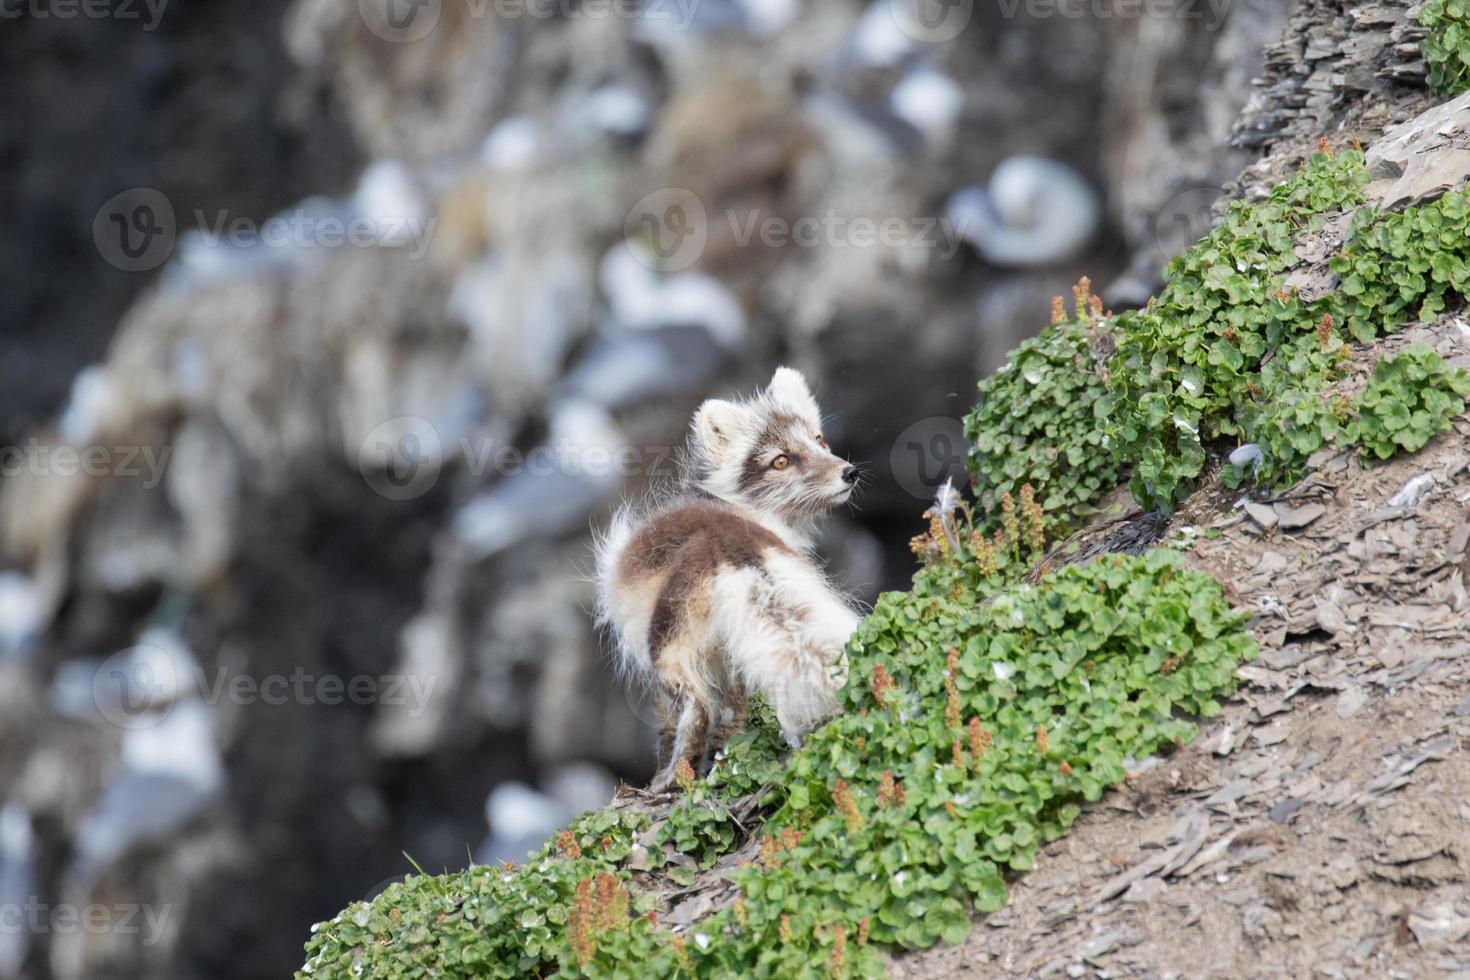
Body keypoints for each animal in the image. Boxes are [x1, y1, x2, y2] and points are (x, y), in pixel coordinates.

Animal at [596, 365, 858, 787]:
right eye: (781, 461)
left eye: (819, 440)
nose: (849, 472)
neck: (738, 508)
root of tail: (731, 544)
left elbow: (665, 725)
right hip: (733, 651)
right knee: (732, 718)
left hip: (667, 646)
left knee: (697, 709)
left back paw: (671, 780)